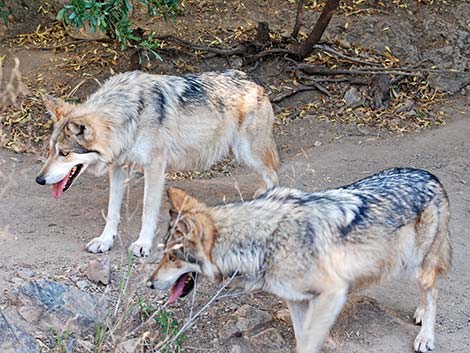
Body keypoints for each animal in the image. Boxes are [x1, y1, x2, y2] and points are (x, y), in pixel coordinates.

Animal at [36, 69, 280, 256]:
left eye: (64, 153)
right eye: (50, 151)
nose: (39, 179)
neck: (128, 118)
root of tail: (254, 82)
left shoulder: (154, 167)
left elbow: (148, 209)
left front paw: (142, 244)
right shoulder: (118, 168)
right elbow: (112, 210)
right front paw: (105, 241)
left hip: (247, 153)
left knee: (273, 177)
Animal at [147, 168, 452, 352]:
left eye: (172, 256)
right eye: (163, 254)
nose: (149, 283)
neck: (261, 240)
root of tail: (431, 176)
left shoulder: (332, 294)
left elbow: (309, 343)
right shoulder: (296, 300)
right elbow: (301, 339)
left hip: (415, 265)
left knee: (434, 291)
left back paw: (426, 336)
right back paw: (420, 313)